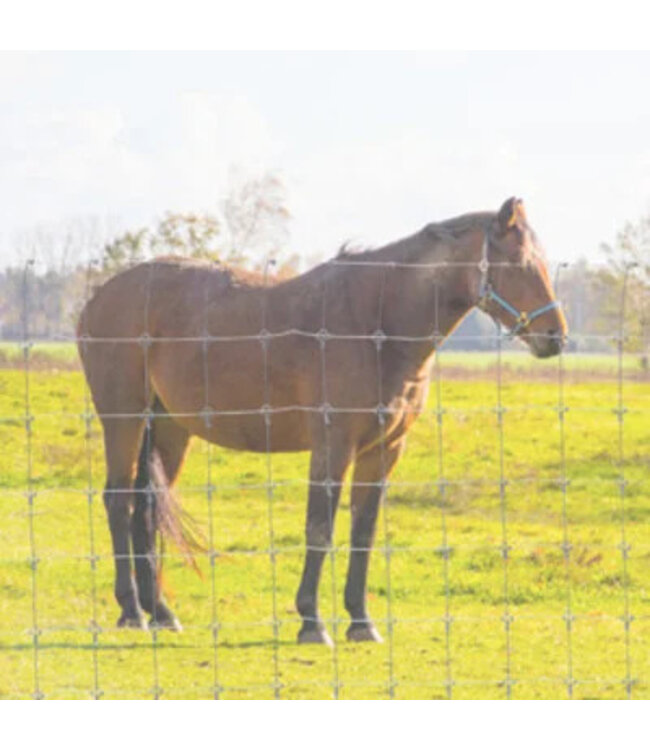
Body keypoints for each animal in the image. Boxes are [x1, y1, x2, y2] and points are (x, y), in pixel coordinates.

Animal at [77, 197, 567, 645]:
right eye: (520, 263)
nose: (555, 337)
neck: (376, 323)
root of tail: (97, 298)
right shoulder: (333, 446)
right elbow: (320, 528)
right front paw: (312, 622)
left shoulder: (383, 451)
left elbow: (363, 532)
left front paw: (361, 622)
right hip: (124, 419)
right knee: (117, 500)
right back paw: (131, 612)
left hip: (170, 429)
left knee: (146, 506)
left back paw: (160, 611)